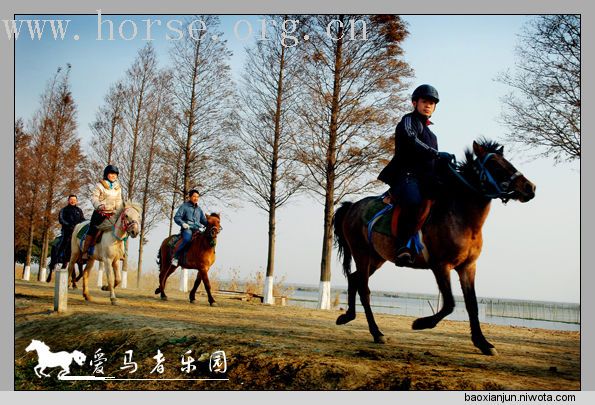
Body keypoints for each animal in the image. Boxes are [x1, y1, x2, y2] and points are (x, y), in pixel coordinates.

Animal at [332, 139, 536, 354]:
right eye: (495, 165)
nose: (530, 187)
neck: (461, 217)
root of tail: (352, 206)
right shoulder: (441, 266)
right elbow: (449, 304)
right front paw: (421, 323)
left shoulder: (468, 267)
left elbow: (472, 305)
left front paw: (483, 342)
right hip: (361, 253)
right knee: (364, 289)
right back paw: (376, 332)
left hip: (377, 258)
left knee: (354, 279)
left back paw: (347, 317)